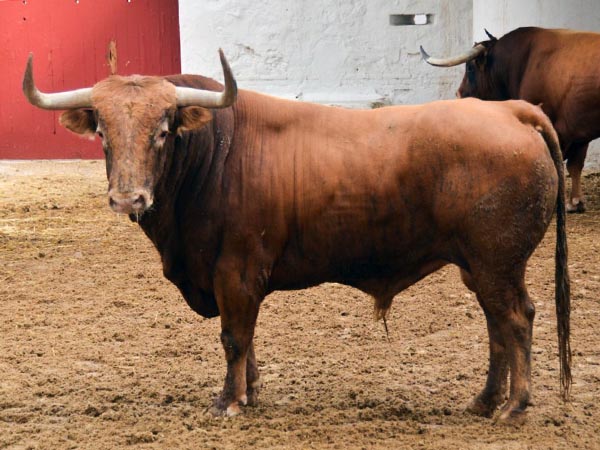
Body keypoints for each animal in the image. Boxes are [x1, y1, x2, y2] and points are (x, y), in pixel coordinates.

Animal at [22, 51, 572, 420]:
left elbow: (233, 336)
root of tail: (511, 110)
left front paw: (229, 401)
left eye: (163, 130)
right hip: (478, 267)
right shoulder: (232, 280)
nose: (128, 198)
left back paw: (514, 407)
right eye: (102, 132)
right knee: (496, 326)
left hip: (498, 263)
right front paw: (251, 392)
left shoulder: (236, 270)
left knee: (516, 319)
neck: (215, 152)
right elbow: (246, 340)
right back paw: (483, 401)